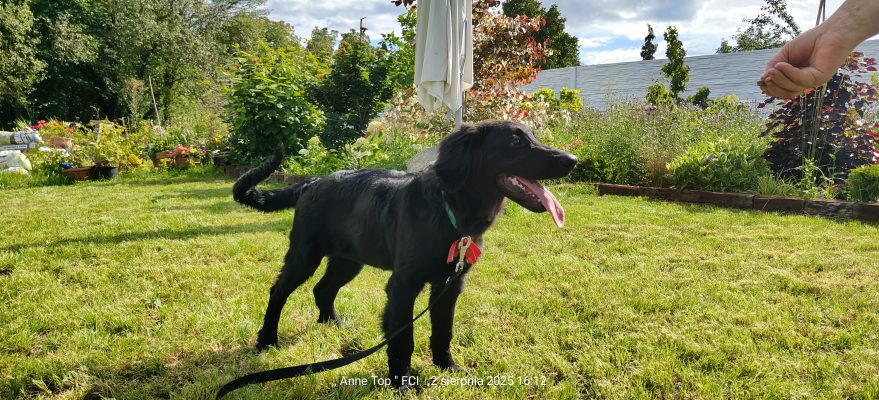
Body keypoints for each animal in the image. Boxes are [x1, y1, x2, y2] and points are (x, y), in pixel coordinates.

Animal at [232, 120, 576, 388]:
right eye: (515, 142)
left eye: (533, 136)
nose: (572, 159)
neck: (450, 212)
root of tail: (310, 182)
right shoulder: (403, 286)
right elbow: (402, 337)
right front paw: (403, 383)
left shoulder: (450, 285)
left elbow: (443, 331)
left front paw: (448, 367)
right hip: (304, 255)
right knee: (278, 291)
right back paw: (267, 341)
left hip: (348, 260)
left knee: (323, 289)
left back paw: (333, 324)